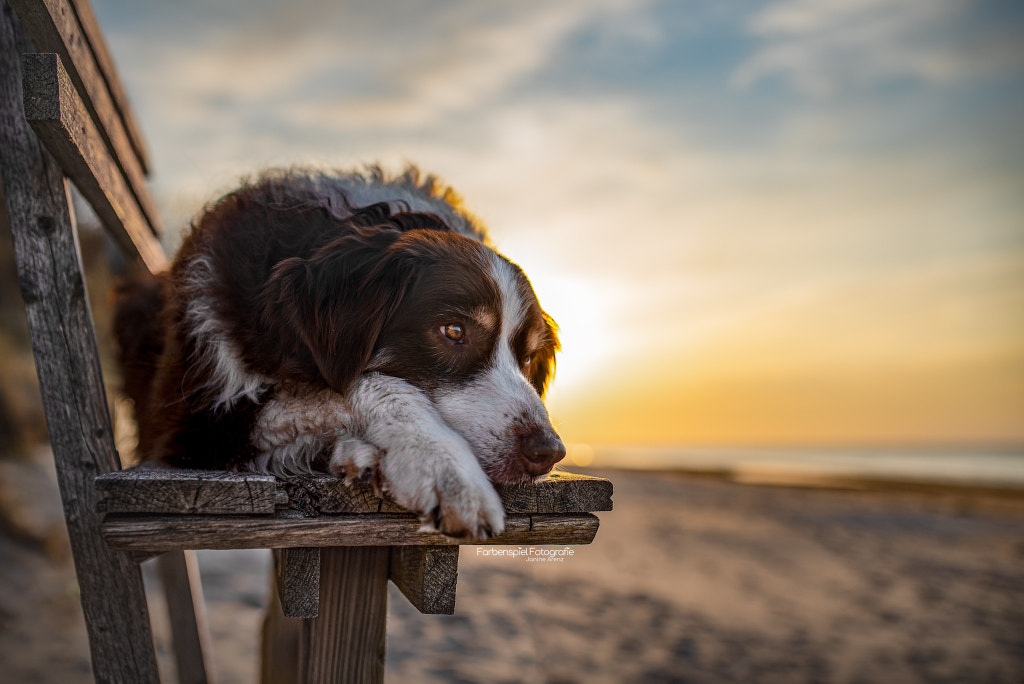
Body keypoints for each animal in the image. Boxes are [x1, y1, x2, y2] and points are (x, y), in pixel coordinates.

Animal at [117, 166, 569, 540]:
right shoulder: (198, 421)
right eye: (454, 331)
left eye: (527, 358)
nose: (548, 451)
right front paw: (441, 466)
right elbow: (367, 385)